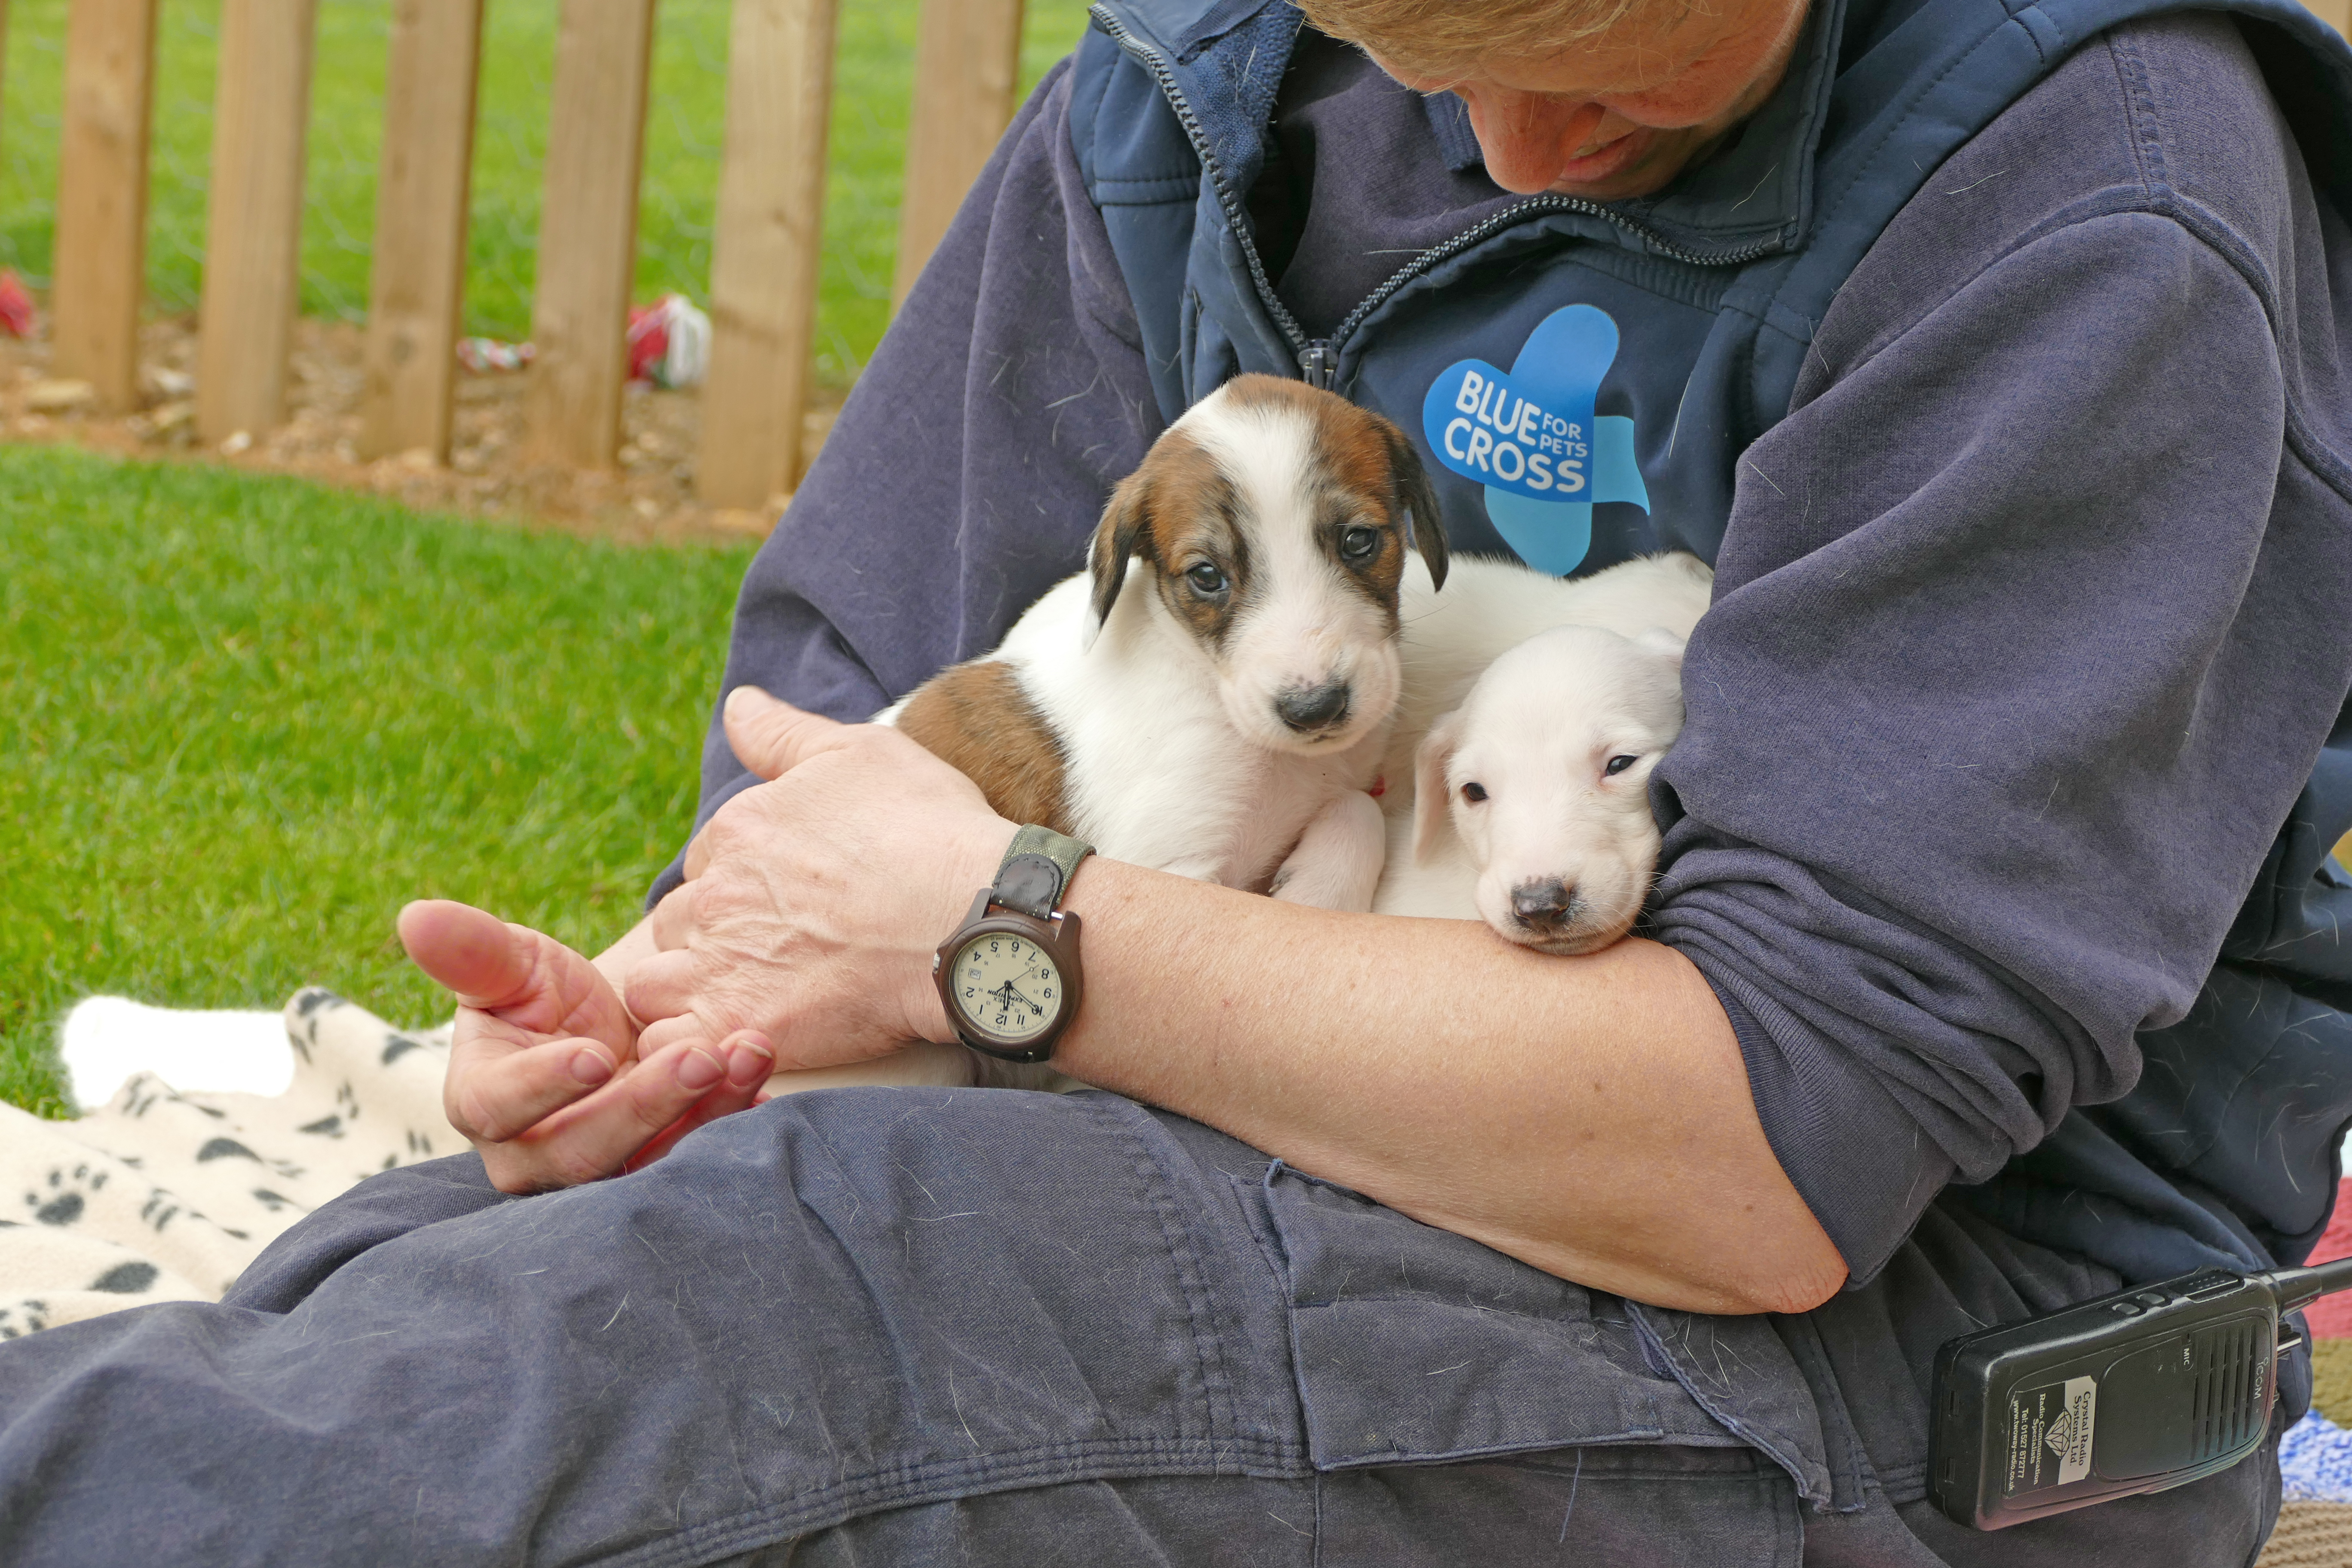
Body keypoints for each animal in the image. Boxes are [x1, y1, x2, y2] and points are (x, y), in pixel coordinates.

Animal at [884, 371, 1430, 907]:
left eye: (1359, 541)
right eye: (1206, 575)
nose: (1315, 709)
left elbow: (1358, 807)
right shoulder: (1169, 864)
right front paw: (1319, 895)